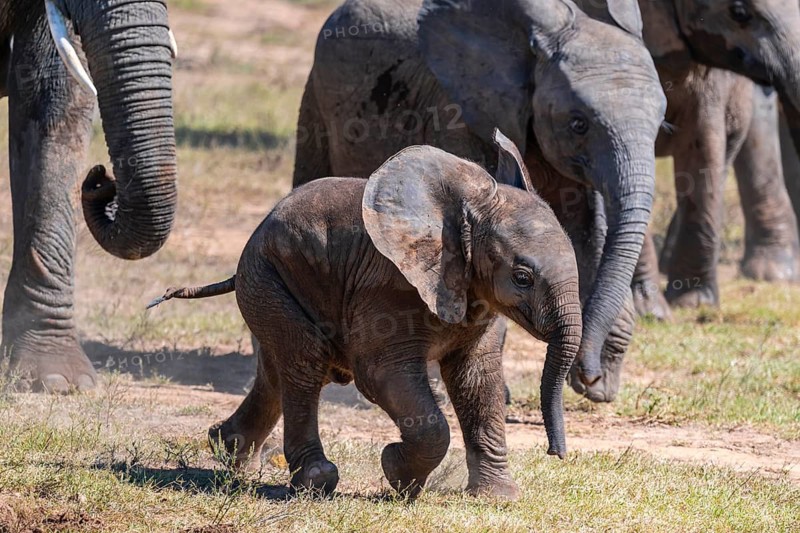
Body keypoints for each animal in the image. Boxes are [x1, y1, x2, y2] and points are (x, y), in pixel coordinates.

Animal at [149, 132, 583, 501]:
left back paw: (228, 451)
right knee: (304, 363)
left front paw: (496, 498)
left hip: (269, 285)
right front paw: (397, 473)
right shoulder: (387, 288)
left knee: (277, 370)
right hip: (266, 277)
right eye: (522, 277)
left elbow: (476, 379)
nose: (556, 453)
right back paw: (315, 480)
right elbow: (383, 375)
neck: (462, 213)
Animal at [292, 0, 667, 403]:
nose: (590, 376)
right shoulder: (456, 111)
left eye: (661, 124)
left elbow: (583, 228)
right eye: (578, 123)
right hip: (315, 102)